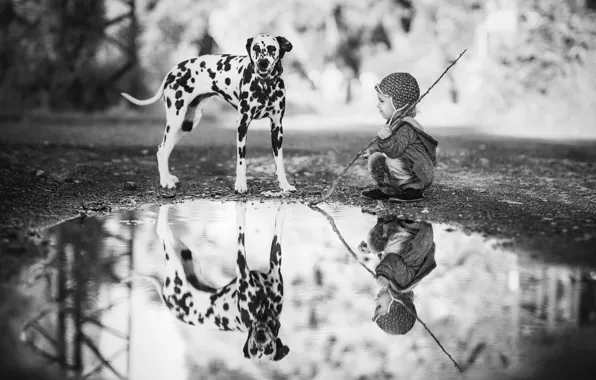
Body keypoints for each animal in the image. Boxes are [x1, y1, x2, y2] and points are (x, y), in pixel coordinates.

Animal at [120, 33, 296, 194]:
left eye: (272, 48)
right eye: (256, 48)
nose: (262, 63)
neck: (266, 86)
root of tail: (173, 70)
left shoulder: (277, 128)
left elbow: (280, 161)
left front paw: (284, 185)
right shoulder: (242, 125)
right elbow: (241, 161)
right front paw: (240, 184)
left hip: (186, 124)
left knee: (164, 149)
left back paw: (168, 177)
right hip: (175, 117)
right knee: (162, 150)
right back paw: (165, 181)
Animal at [138, 203, 292, 360]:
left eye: (268, 349)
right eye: (253, 348)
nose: (260, 337)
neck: (263, 313)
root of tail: (167, 301)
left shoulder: (273, 262)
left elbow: (278, 227)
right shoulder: (242, 267)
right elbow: (240, 228)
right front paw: (241, 207)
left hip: (185, 254)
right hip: (174, 261)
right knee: (160, 227)